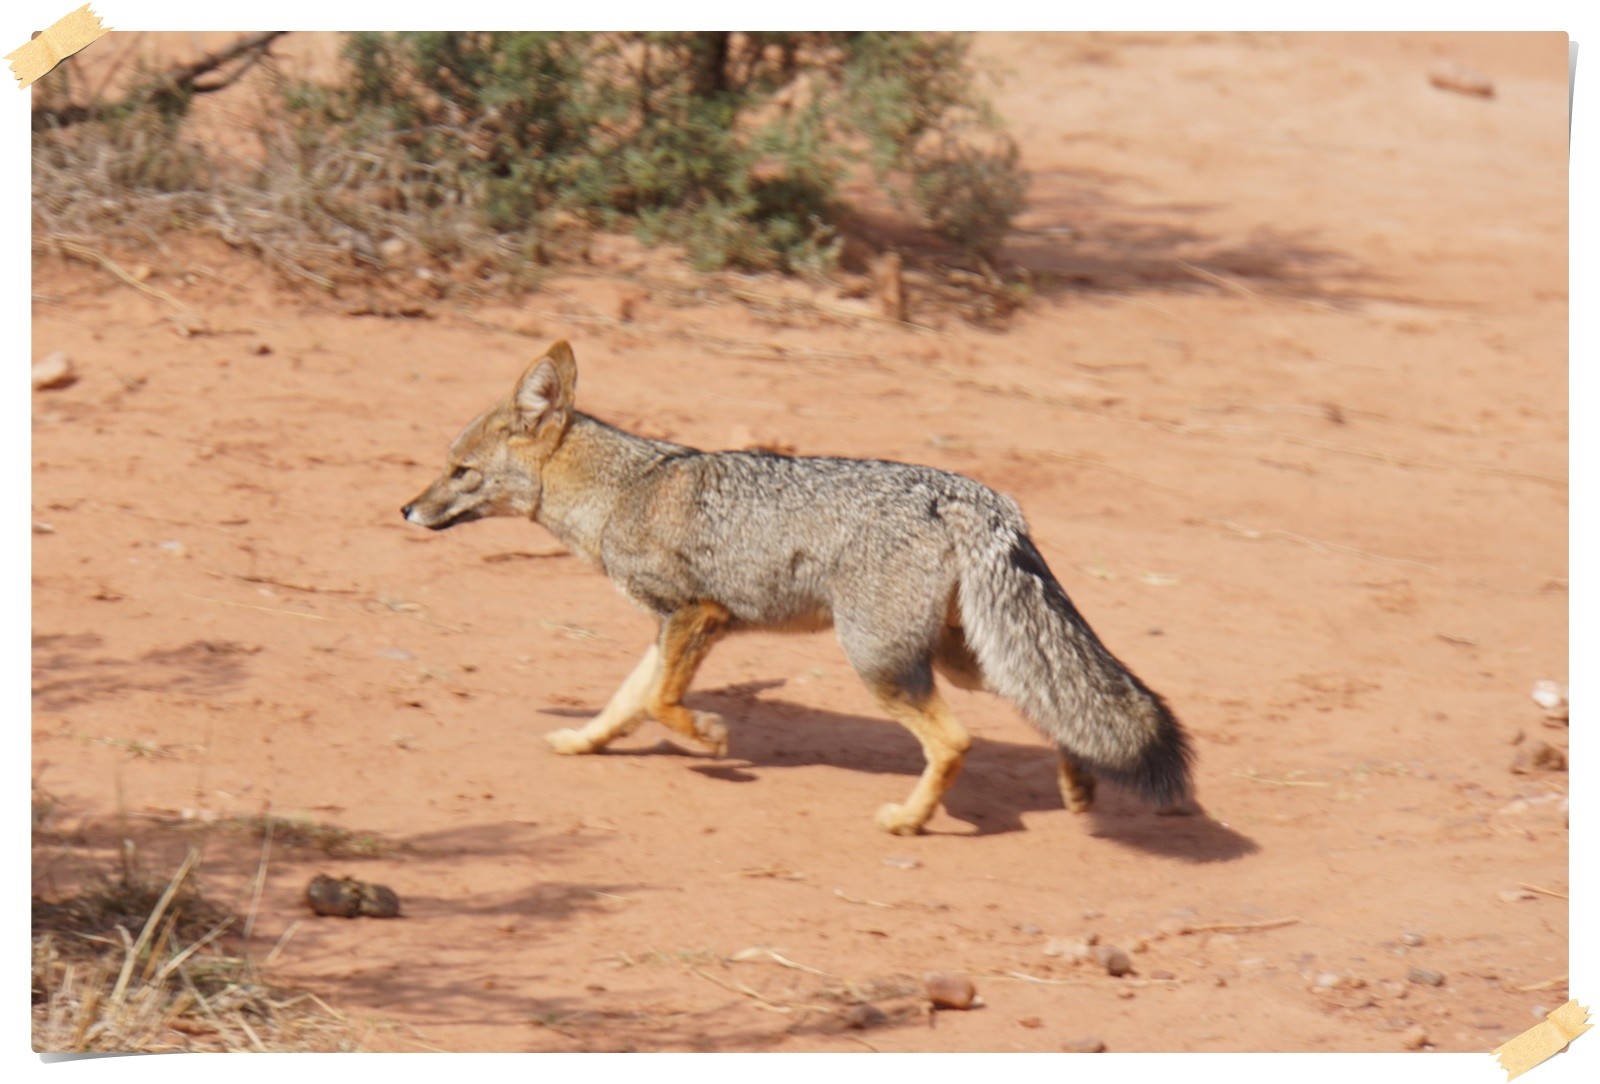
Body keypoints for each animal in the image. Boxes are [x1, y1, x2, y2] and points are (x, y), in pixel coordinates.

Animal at [406, 343, 1196, 837]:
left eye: (459, 471)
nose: (406, 510)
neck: (623, 490)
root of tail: (980, 497)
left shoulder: (698, 612)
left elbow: (661, 702)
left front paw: (710, 737)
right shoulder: (668, 626)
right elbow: (628, 700)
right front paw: (583, 741)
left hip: (880, 661)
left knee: (957, 740)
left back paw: (909, 822)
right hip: (961, 656)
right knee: (1055, 702)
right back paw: (1078, 787)